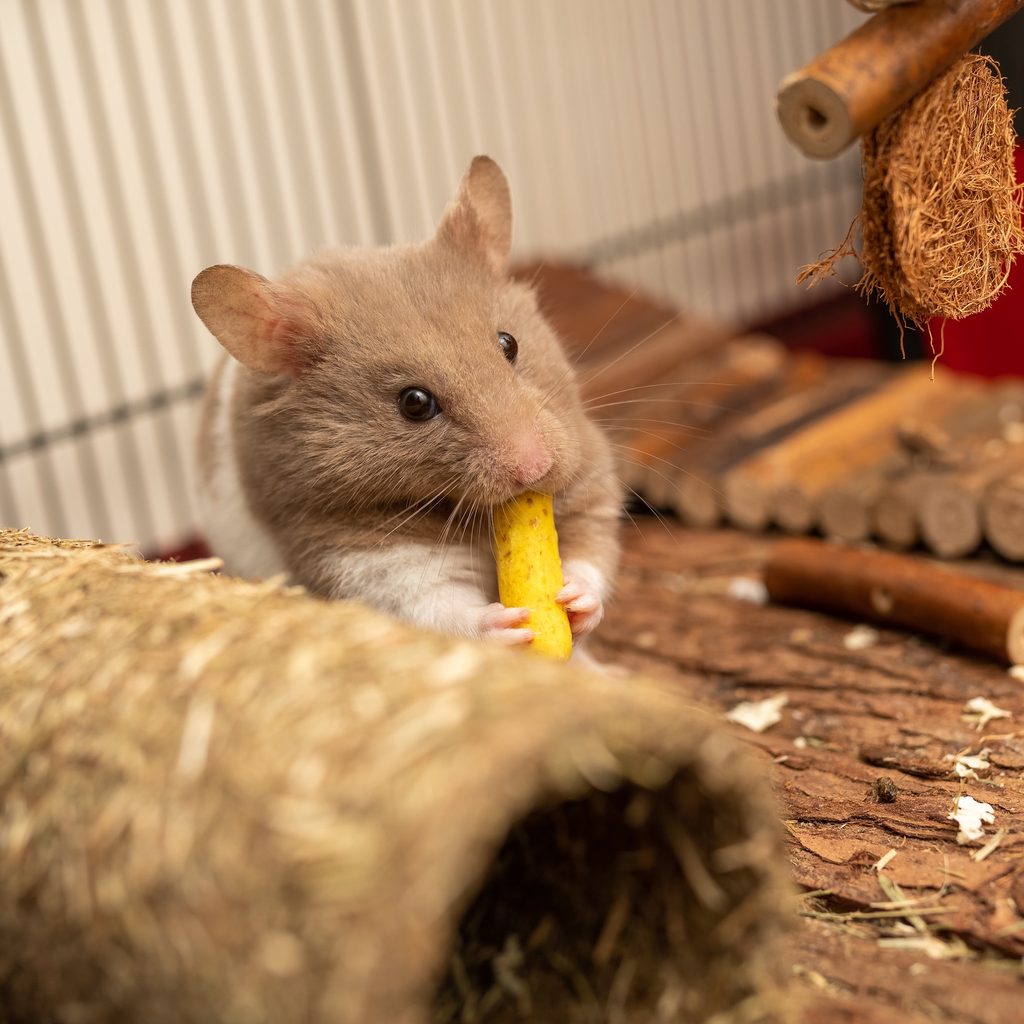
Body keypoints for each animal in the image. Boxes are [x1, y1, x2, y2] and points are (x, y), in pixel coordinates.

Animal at [192, 156, 622, 650]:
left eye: (509, 343)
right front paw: (509, 625)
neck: (457, 507)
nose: (535, 469)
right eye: (415, 403)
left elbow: (591, 551)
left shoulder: (589, 474)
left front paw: (574, 599)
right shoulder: (360, 556)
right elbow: (437, 605)